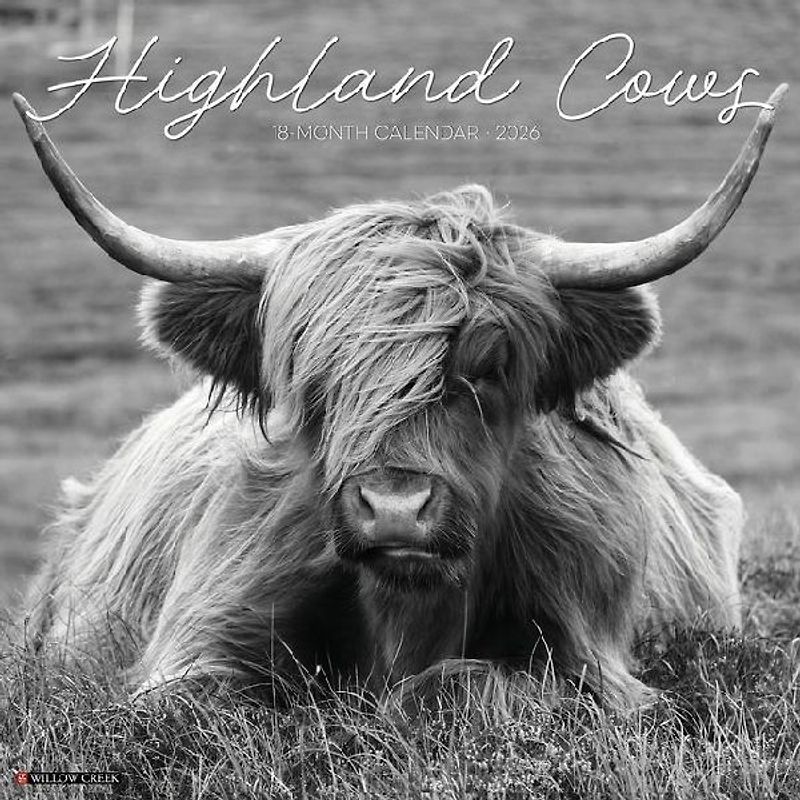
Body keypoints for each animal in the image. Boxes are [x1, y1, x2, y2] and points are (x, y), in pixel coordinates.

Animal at [13, 84, 787, 709]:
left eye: (491, 366)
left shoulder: (595, 662)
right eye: (311, 374)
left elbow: (469, 682)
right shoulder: (196, 643)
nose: (394, 508)